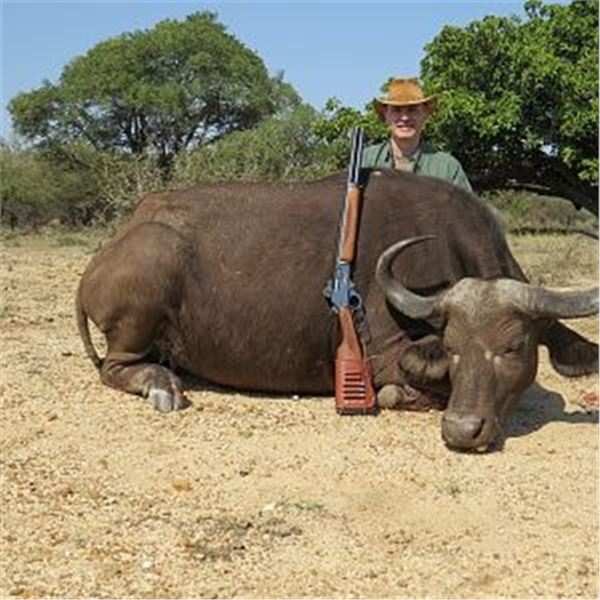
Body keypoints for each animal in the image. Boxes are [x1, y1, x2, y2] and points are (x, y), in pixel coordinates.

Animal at [76, 168, 598, 451]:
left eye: (513, 347)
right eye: (451, 347)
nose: (462, 429)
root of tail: (119, 240)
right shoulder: (386, 356)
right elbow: (400, 386)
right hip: (146, 289)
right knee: (116, 367)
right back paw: (161, 386)